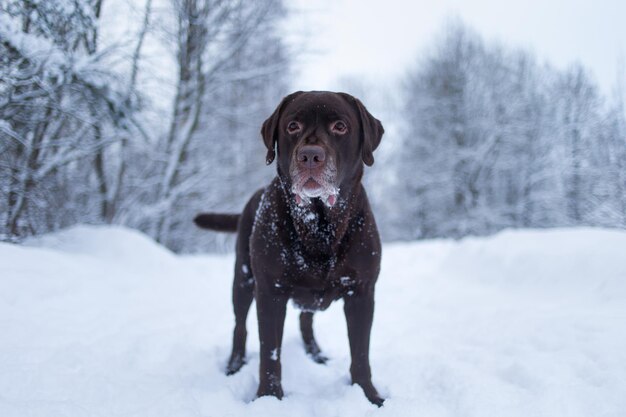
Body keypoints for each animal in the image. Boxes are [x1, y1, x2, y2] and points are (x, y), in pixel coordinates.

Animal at [193, 91, 382, 406]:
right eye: (293, 126)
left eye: (340, 127)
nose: (310, 156)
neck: (319, 226)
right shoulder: (271, 291)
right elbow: (270, 354)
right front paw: (268, 398)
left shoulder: (361, 292)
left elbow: (361, 353)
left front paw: (368, 396)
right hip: (243, 278)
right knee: (240, 326)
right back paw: (234, 364)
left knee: (306, 319)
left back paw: (315, 353)